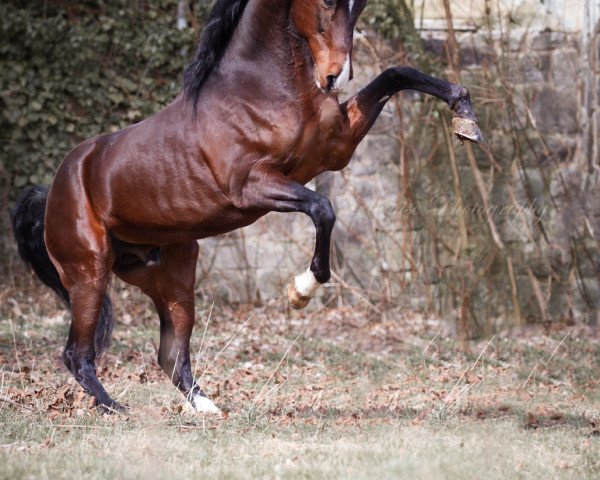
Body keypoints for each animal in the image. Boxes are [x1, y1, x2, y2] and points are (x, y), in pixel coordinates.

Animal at [10, 0, 482, 412]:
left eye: (360, 3)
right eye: (326, 1)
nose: (335, 76)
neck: (259, 91)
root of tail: (53, 189)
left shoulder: (336, 149)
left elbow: (396, 73)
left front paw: (466, 121)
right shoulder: (253, 186)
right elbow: (323, 207)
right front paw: (300, 291)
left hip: (170, 273)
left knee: (170, 353)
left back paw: (205, 407)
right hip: (89, 271)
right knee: (77, 353)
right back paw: (116, 409)